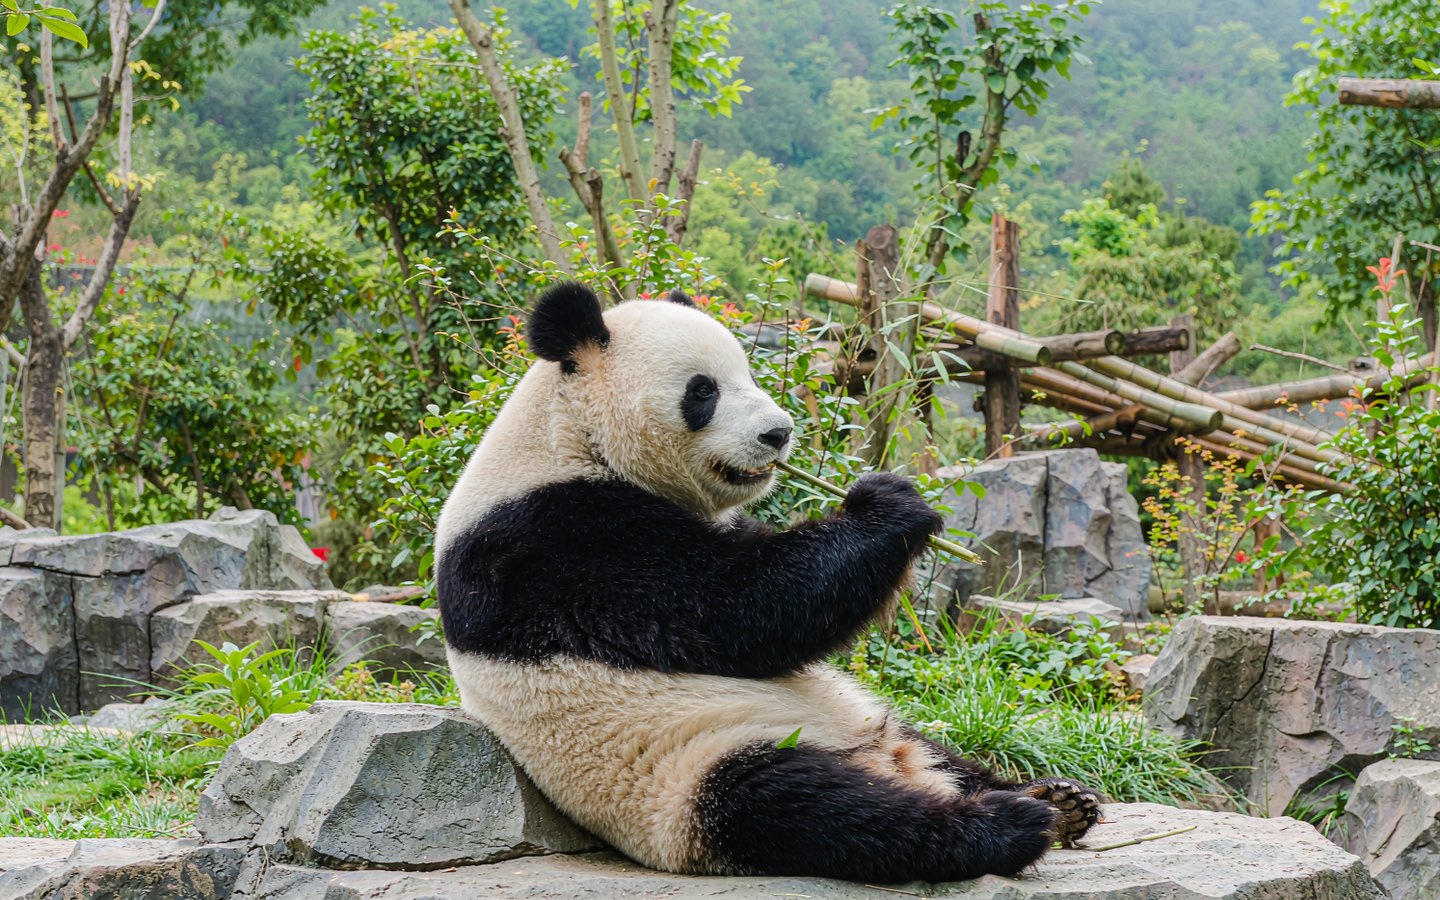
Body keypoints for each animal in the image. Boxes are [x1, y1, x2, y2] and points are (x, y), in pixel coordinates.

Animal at [434, 282, 1101, 884]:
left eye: (748, 372)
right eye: (702, 390)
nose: (778, 434)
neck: (568, 435)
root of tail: (890, 761)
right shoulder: (552, 543)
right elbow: (733, 611)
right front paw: (889, 504)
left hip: (863, 716)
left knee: (931, 756)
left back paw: (1060, 799)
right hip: (690, 770)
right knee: (814, 808)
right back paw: (1009, 823)